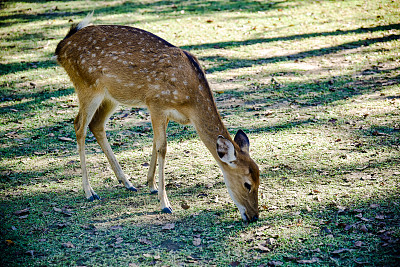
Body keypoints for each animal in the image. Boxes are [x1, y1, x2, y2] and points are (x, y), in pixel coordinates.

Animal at [54, 12, 260, 222]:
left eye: (260, 178)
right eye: (247, 184)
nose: (254, 216)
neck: (190, 102)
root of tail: (61, 47)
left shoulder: (165, 112)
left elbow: (154, 142)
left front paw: (151, 185)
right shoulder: (156, 102)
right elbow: (162, 147)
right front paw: (165, 204)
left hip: (111, 95)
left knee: (96, 124)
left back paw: (127, 182)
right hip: (87, 86)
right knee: (79, 125)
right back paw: (90, 192)